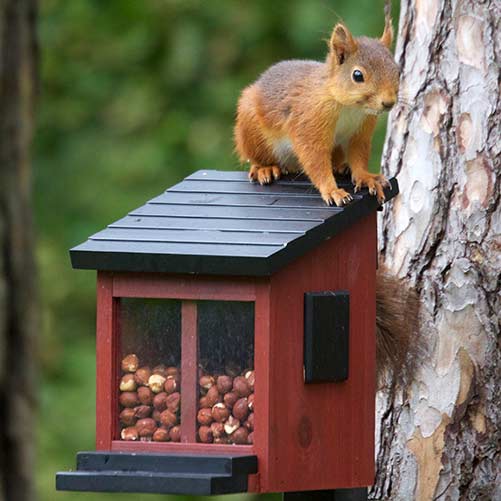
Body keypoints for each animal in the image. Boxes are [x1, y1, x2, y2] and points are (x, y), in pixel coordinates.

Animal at [234, 1, 398, 205]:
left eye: (398, 70)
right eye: (357, 75)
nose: (389, 102)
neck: (350, 108)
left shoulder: (360, 131)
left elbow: (358, 155)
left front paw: (366, 177)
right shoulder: (310, 121)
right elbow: (315, 159)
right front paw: (332, 191)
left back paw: (341, 166)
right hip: (251, 131)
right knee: (257, 157)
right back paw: (265, 168)